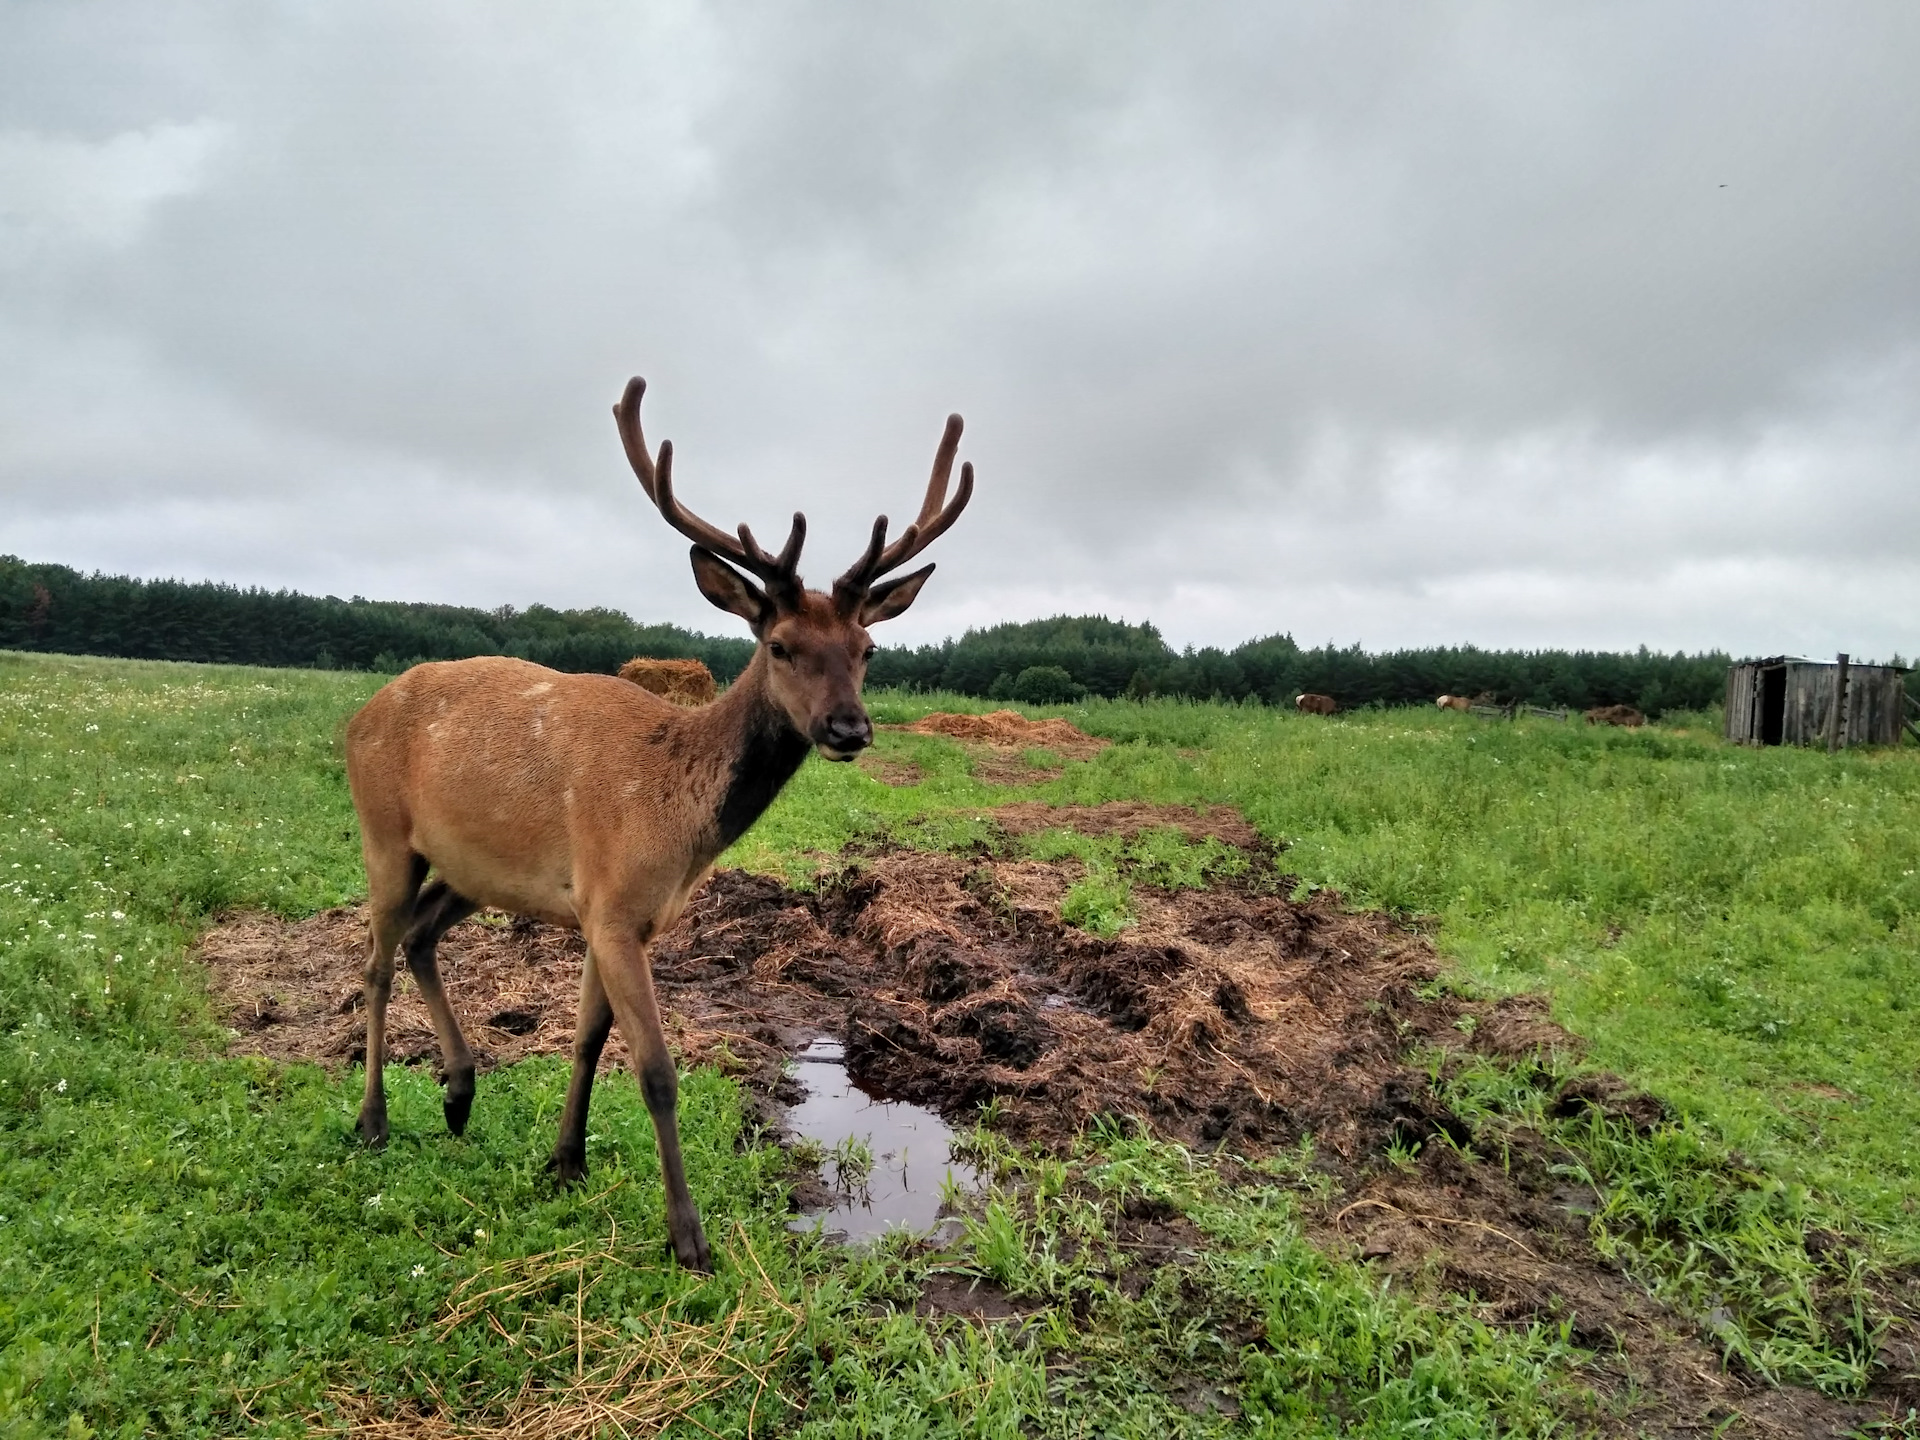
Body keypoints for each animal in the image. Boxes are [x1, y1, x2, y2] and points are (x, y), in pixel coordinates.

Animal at [341, 378, 975, 1267]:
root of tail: (357, 716)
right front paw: (687, 1235)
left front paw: (565, 1162)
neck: (675, 824)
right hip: (383, 832)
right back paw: (374, 1119)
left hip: (472, 868)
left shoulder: (612, 913)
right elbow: (656, 1071)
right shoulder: (610, 905)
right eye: (780, 645)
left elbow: (586, 1040)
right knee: (375, 962)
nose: (849, 728)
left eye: (868, 648)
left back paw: (460, 1093)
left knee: (423, 938)